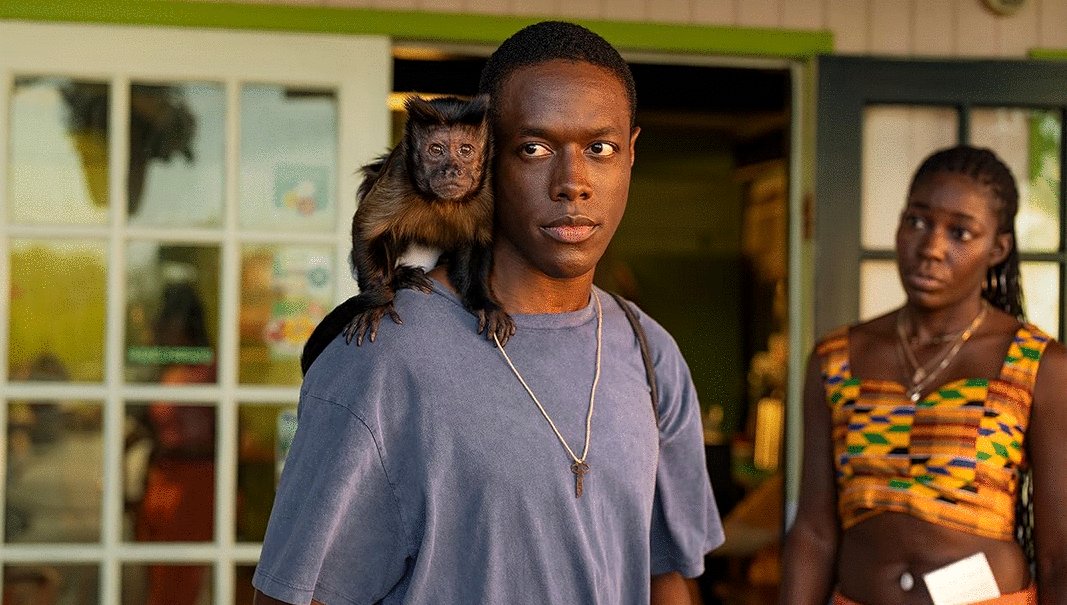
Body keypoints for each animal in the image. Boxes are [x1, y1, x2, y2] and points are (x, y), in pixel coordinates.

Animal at [300, 94, 514, 375]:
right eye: (436, 150)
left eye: (465, 150)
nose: (452, 169)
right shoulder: (400, 171)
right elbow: (367, 227)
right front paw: (378, 302)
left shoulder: (488, 184)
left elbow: (478, 239)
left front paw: (483, 303)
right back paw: (401, 277)